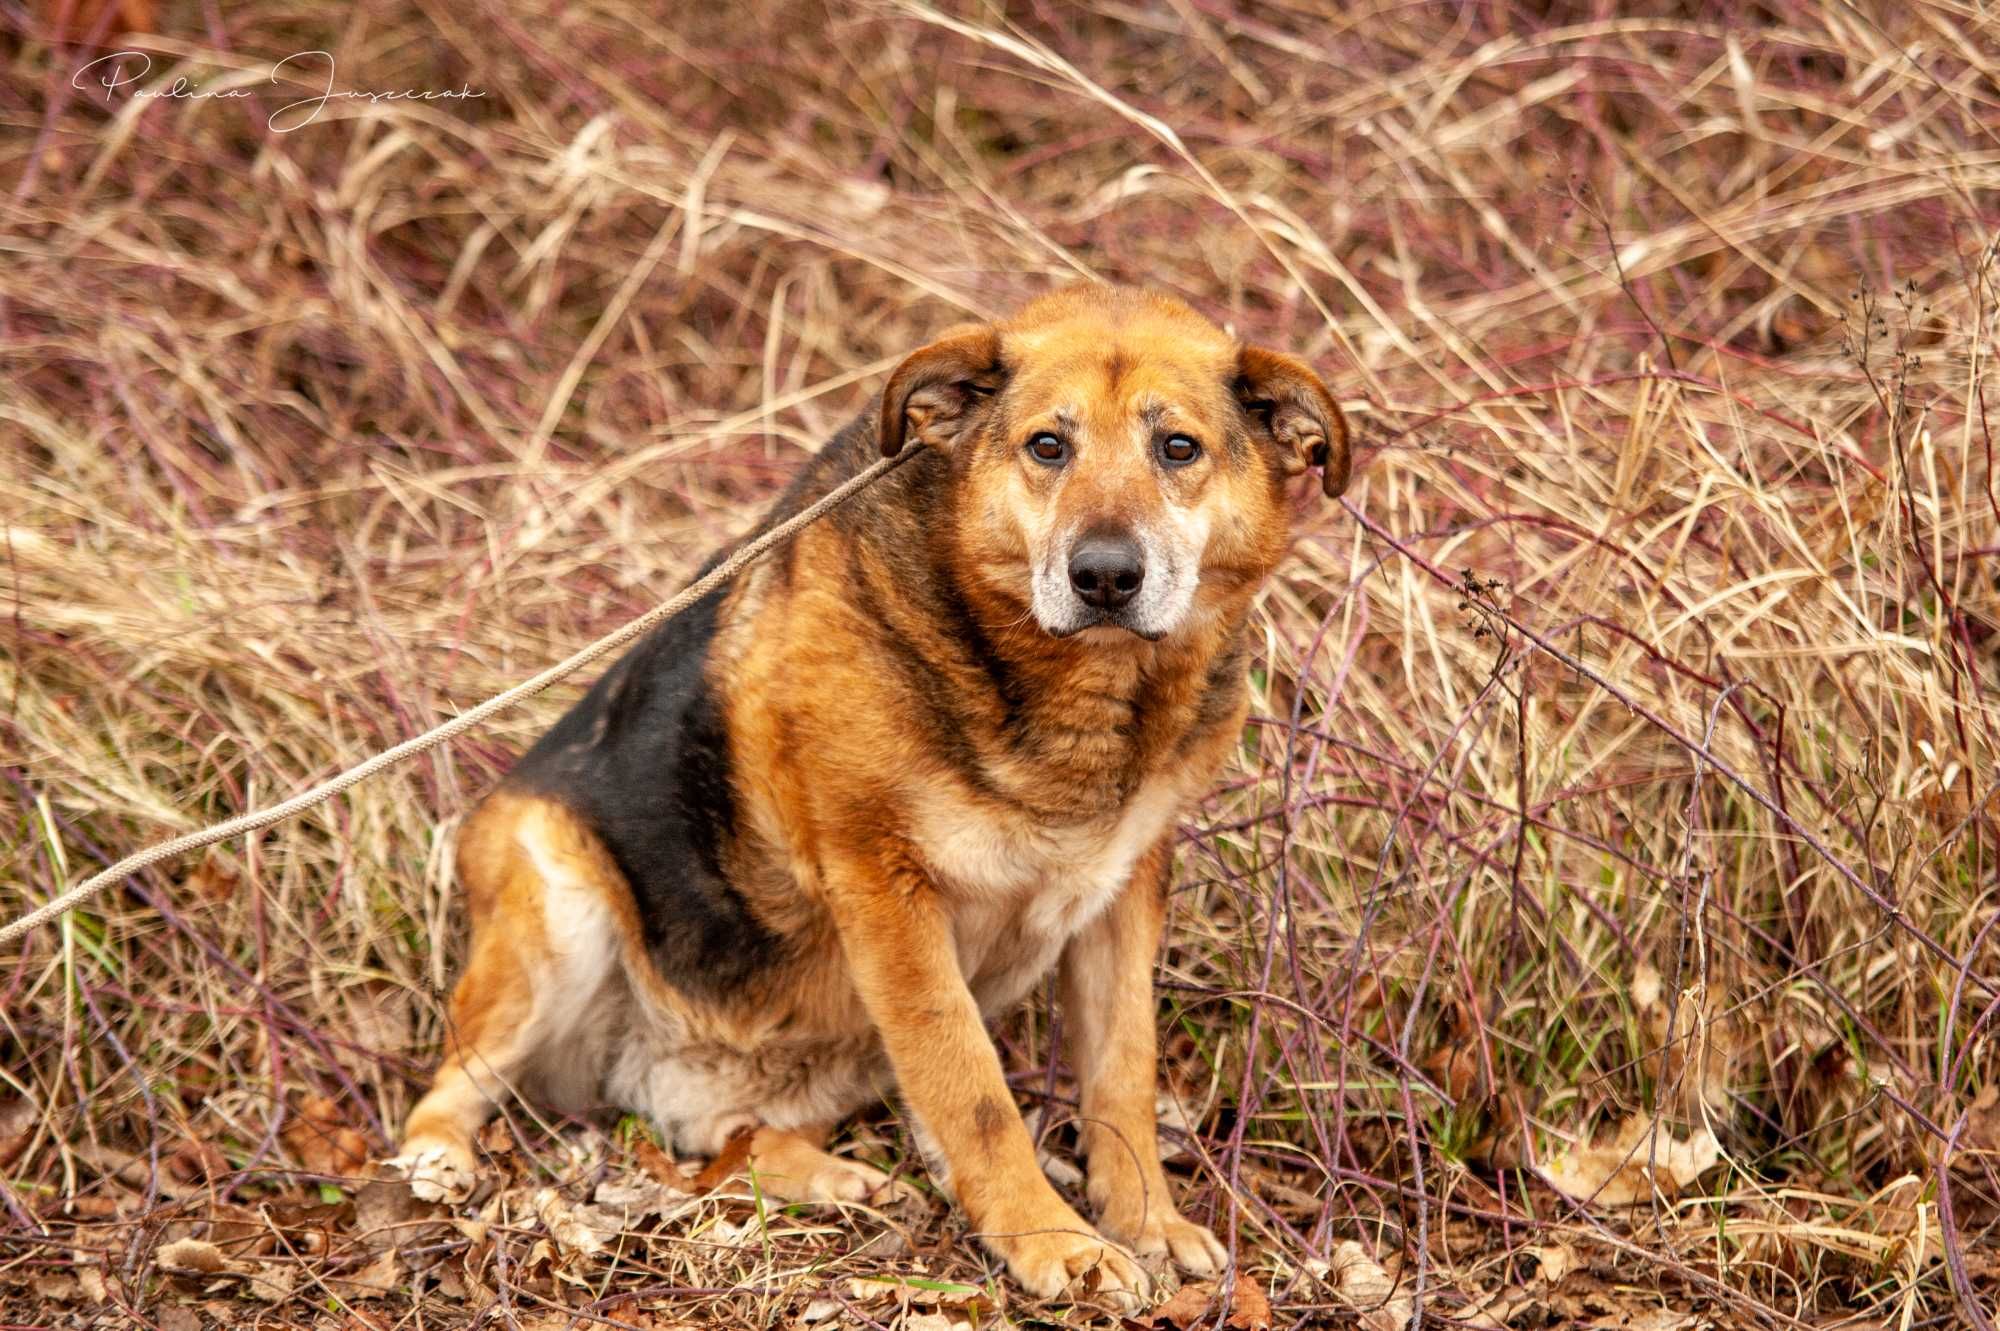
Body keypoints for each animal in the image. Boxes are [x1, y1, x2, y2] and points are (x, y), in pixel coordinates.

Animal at [390, 281, 1352, 1303]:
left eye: (1178, 448)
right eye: (1047, 446)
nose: (1103, 576)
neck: (1080, 694)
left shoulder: (1123, 890)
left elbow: (1121, 1073)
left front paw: (1145, 1221)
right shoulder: (886, 887)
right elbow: (973, 1090)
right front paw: (1054, 1240)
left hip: (828, 1042)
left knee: (728, 1140)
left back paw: (833, 1177)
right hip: (553, 901)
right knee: (450, 1082)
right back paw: (440, 1161)